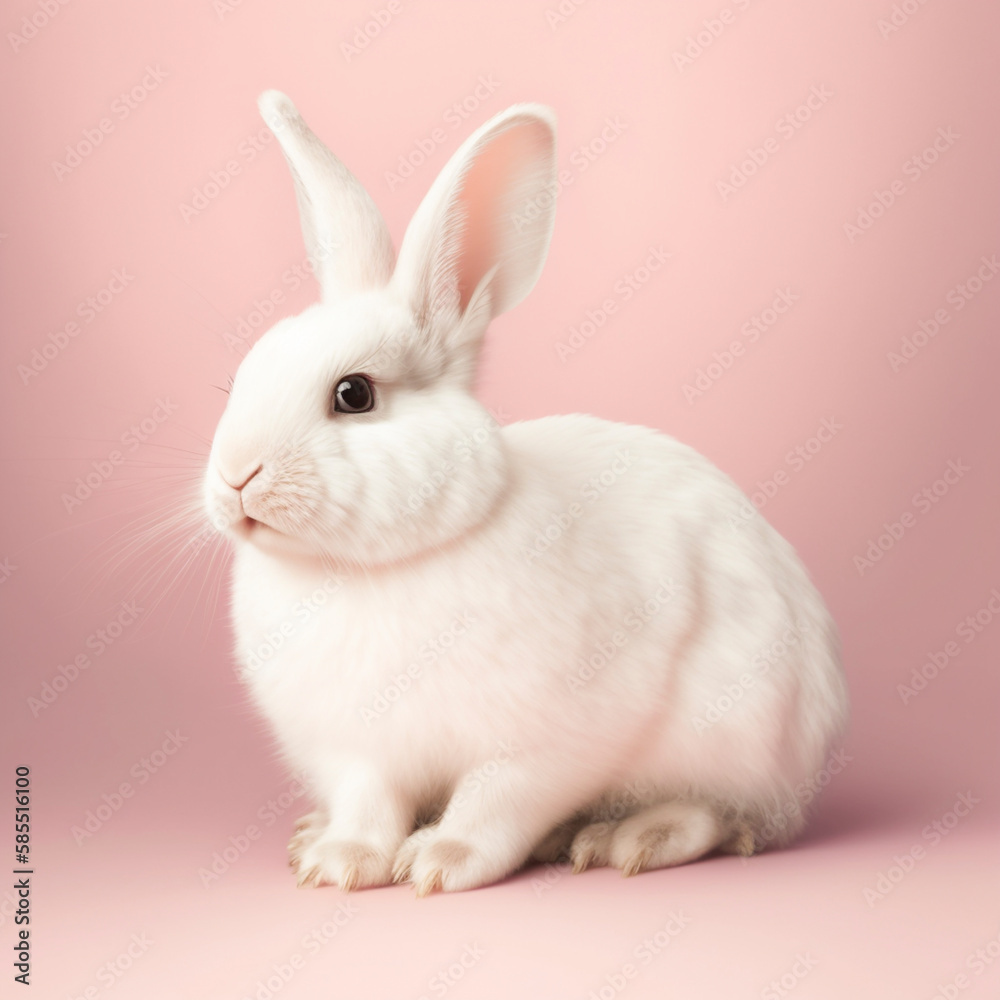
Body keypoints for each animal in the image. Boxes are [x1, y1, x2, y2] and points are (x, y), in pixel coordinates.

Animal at [203, 90, 849, 895]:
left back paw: (628, 839)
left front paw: (441, 862)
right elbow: (367, 803)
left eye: (353, 395)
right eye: (241, 377)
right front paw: (339, 861)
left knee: (719, 816)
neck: (372, 567)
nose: (235, 476)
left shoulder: (543, 743)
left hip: (735, 733)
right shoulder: (355, 750)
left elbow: (496, 801)